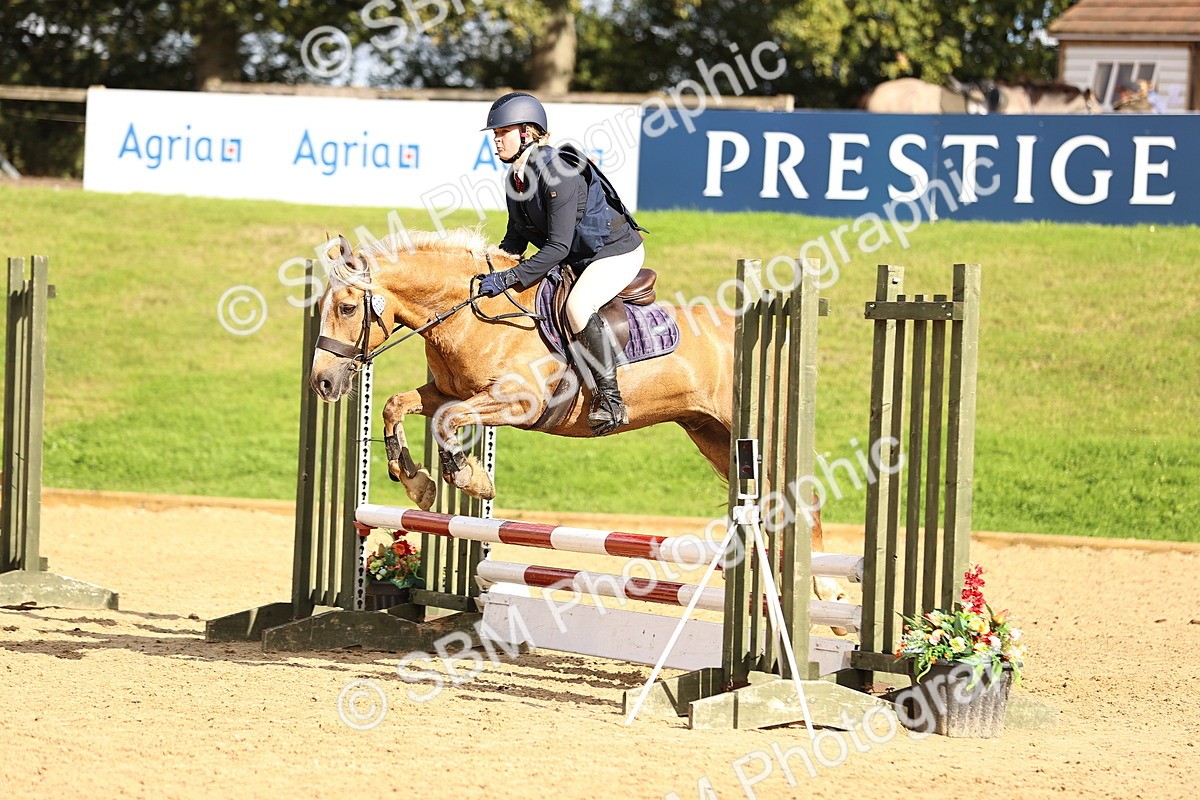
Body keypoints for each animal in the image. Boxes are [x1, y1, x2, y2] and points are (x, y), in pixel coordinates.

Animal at [307, 229, 848, 612]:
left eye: (347, 308)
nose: (323, 384)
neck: (473, 313)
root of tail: (769, 337)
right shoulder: (448, 391)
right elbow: (398, 405)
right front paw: (417, 482)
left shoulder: (516, 402)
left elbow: (447, 421)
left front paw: (470, 478)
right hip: (713, 435)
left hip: (761, 435)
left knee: (805, 498)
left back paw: (824, 589)